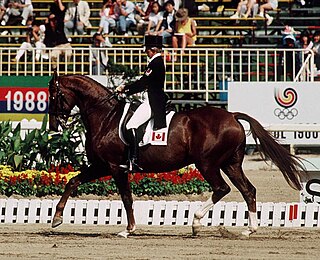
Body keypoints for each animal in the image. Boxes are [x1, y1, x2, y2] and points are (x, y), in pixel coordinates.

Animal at [48, 71, 304, 238]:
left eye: (53, 96)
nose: (53, 125)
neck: (106, 116)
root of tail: (231, 115)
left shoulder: (114, 167)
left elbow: (127, 198)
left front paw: (128, 230)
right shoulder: (101, 166)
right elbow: (72, 182)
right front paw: (56, 218)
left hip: (207, 163)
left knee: (222, 188)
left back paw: (196, 223)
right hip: (231, 164)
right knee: (247, 190)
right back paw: (249, 230)